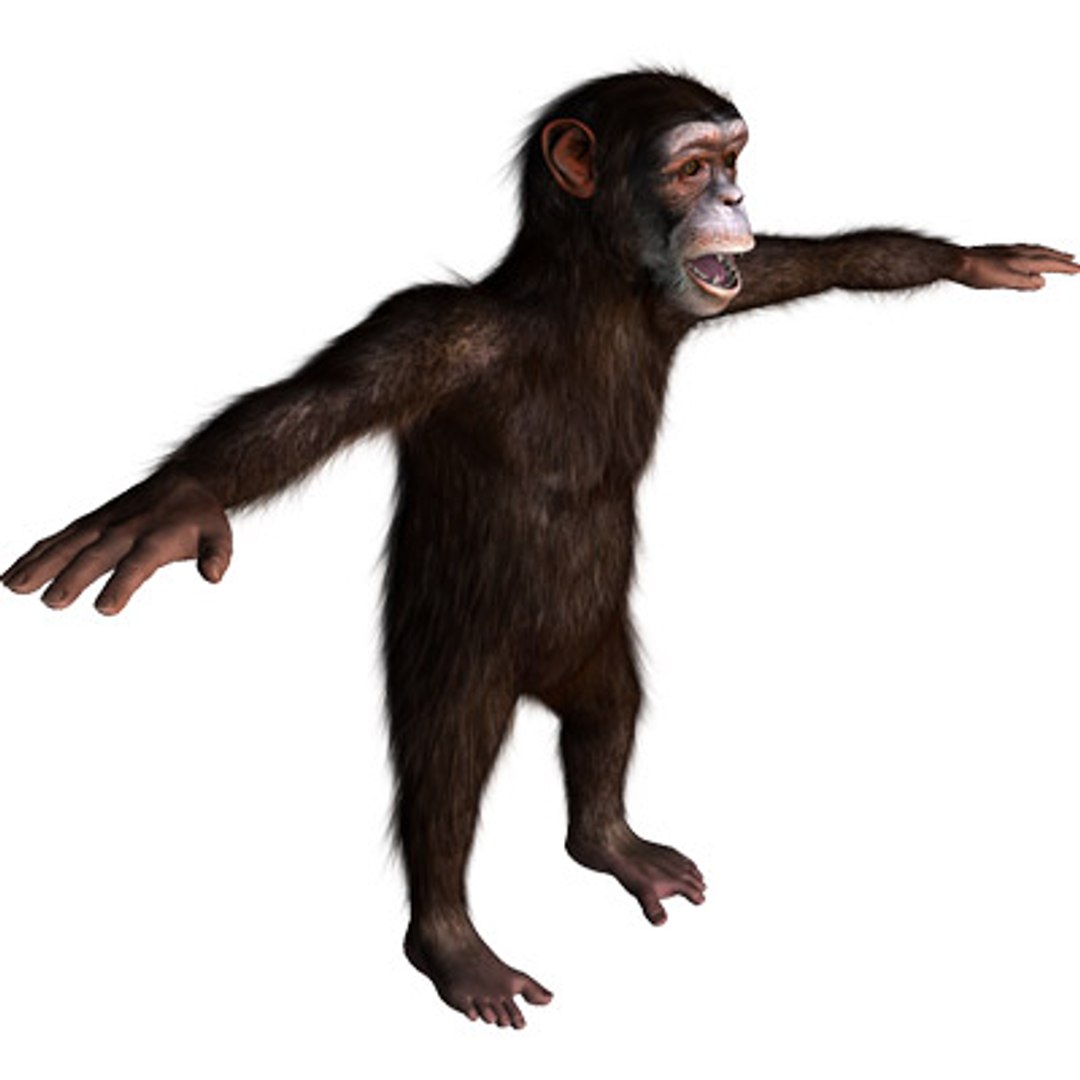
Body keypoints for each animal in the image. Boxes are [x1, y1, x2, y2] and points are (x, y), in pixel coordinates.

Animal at [3, 71, 1077, 1030]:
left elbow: (806, 262)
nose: (734, 198)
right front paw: (171, 504)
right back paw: (455, 947)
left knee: (609, 718)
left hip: (595, 651)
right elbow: (310, 409)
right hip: (454, 663)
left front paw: (982, 258)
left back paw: (612, 843)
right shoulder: (429, 336)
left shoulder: (686, 298)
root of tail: (538, 679)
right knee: (443, 774)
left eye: (736, 162)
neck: (586, 300)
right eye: (694, 167)